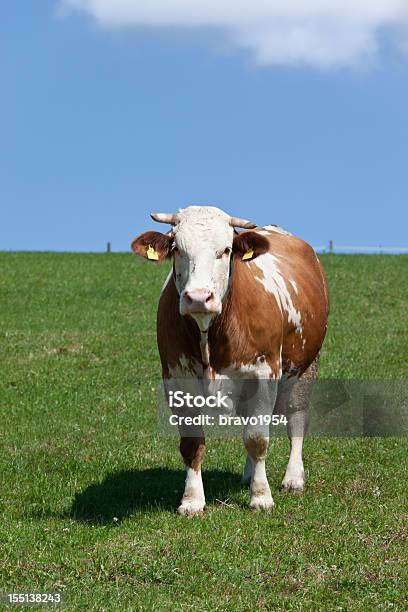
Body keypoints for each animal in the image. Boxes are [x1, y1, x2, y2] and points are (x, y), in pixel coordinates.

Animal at [132, 206, 330, 516]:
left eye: (225, 250)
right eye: (177, 248)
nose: (198, 297)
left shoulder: (264, 374)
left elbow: (257, 438)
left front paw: (261, 496)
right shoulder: (176, 378)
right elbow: (192, 443)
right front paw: (192, 500)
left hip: (307, 363)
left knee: (296, 415)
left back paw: (293, 477)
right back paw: (250, 474)